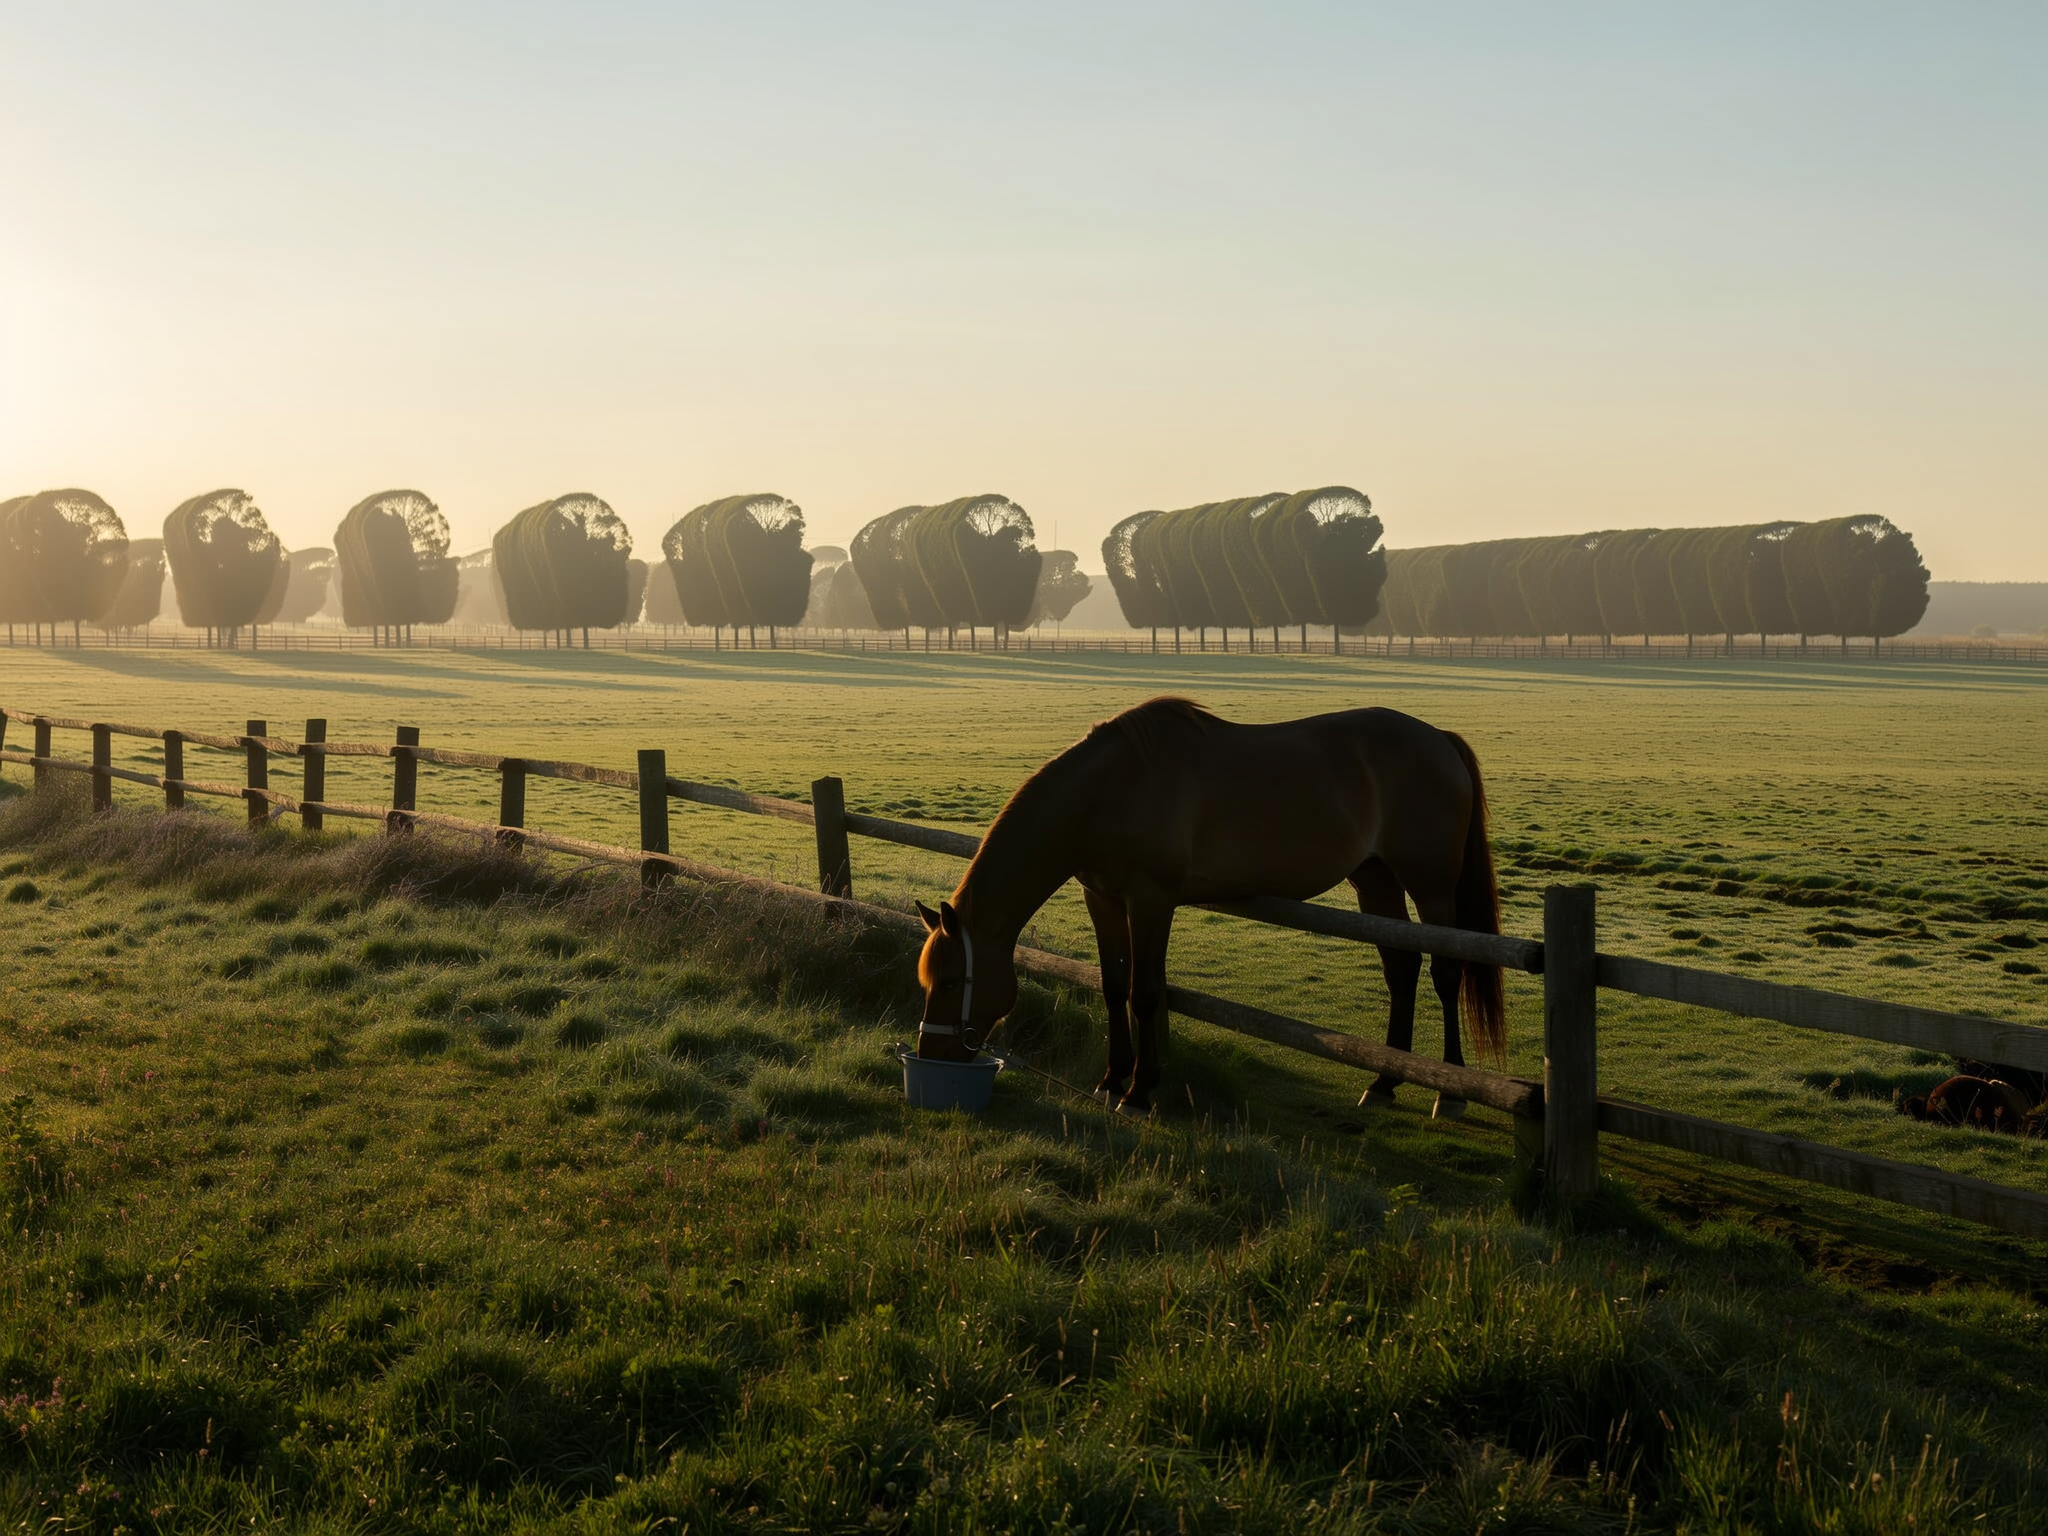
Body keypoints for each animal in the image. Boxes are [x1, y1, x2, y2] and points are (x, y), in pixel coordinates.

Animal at [914, 697, 1504, 1116]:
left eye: (951, 981)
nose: (930, 1054)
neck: (1106, 791)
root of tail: (1439, 739)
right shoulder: (1102, 898)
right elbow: (1112, 986)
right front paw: (1110, 1080)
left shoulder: (1151, 901)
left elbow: (1145, 992)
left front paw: (1139, 1092)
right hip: (1375, 881)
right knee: (1401, 968)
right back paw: (1384, 1082)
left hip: (1432, 887)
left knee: (1447, 972)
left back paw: (1450, 1092)